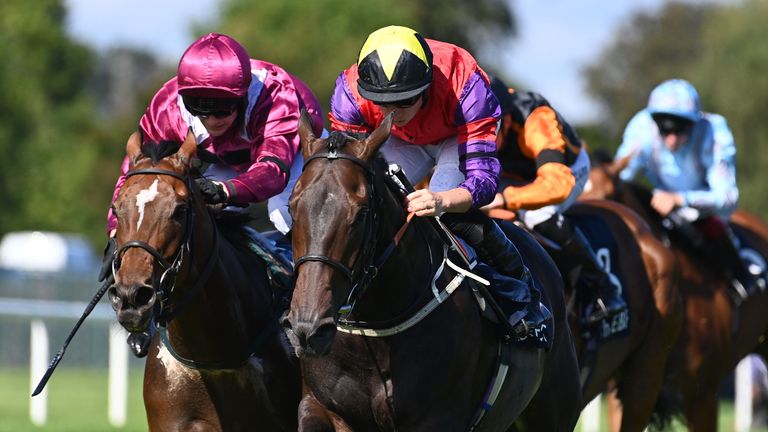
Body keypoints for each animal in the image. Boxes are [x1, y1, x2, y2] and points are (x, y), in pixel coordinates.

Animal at [282, 114, 584, 432]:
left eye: (361, 213)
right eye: (292, 207)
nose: (307, 328)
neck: (373, 333)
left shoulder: (438, 418)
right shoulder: (321, 406)